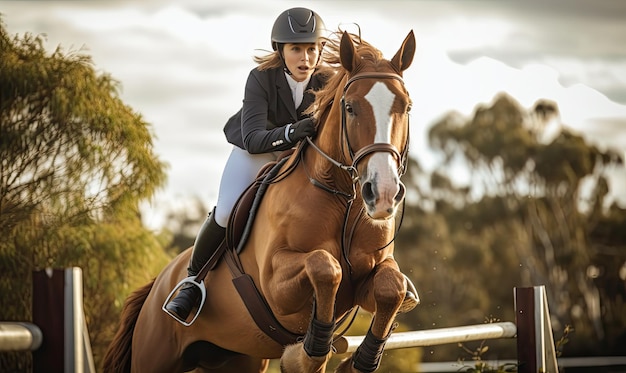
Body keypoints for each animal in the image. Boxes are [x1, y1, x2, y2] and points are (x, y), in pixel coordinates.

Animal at [103, 29, 414, 372]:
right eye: (349, 107)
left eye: (406, 107)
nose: (382, 192)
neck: (342, 201)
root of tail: (157, 283)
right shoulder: (276, 286)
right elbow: (325, 267)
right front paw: (306, 355)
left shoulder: (369, 276)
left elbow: (392, 287)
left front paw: (361, 359)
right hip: (155, 353)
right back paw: (184, 296)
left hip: (239, 358)